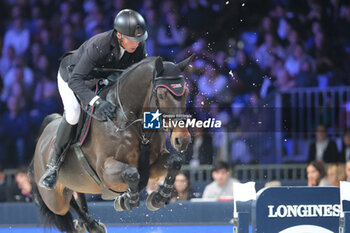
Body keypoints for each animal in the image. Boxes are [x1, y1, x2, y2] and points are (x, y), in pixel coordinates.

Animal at [29, 55, 194, 232]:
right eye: (162, 95)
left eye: (186, 93)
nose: (182, 139)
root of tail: (44, 135)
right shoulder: (105, 171)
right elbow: (131, 173)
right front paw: (126, 200)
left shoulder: (153, 165)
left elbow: (175, 161)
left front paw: (159, 198)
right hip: (54, 199)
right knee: (65, 205)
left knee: (77, 195)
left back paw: (89, 224)